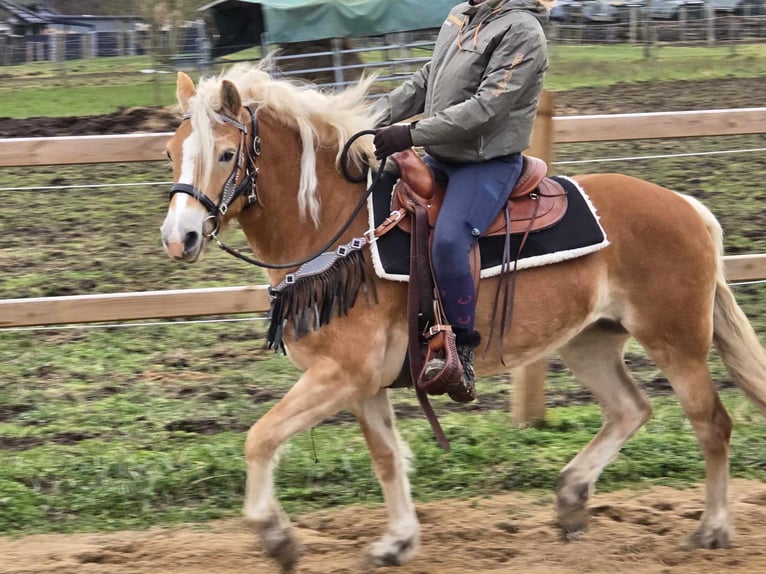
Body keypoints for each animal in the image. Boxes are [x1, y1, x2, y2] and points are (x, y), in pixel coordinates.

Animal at [159, 63, 766, 572]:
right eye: (170, 151)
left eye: (226, 155)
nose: (178, 238)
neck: (337, 227)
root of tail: (689, 207)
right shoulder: (361, 383)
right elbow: (386, 456)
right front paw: (397, 541)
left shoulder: (341, 375)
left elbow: (260, 438)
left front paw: (277, 537)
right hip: (589, 342)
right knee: (630, 409)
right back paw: (571, 499)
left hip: (676, 341)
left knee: (712, 423)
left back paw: (712, 529)